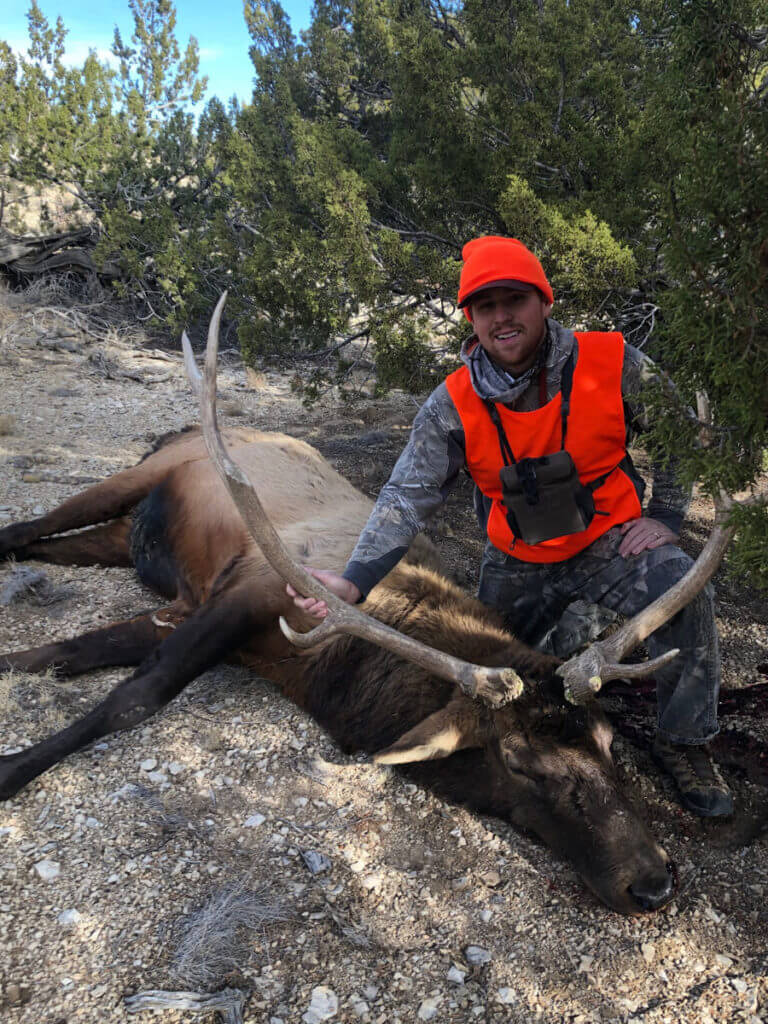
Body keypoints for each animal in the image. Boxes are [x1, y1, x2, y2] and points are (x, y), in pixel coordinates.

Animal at [0, 309, 684, 913]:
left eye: (608, 741)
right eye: (520, 763)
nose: (653, 883)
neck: (333, 673)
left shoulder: (201, 607)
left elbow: (76, 650)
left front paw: (21, 665)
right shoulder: (247, 594)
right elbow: (136, 696)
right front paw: (13, 767)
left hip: (126, 538)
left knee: (47, 545)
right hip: (143, 474)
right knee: (24, 528)